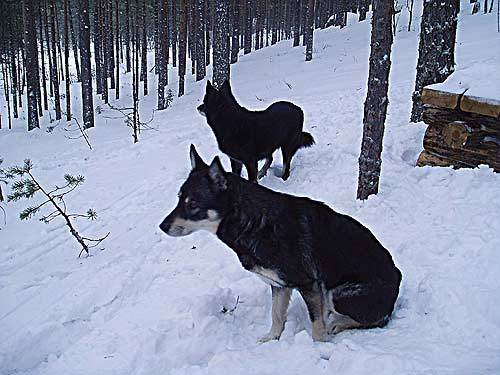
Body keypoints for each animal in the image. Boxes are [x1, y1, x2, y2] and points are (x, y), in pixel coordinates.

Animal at [160, 146, 402, 344]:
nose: (162, 226)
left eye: (193, 204)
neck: (254, 223)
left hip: (339, 294)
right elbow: (276, 315)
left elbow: (316, 326)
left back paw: (337, 323)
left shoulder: (308, 284)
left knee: (375, 320)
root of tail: (397, 279)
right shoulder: (280, 285)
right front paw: (272, 338)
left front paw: (321, 347)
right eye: (179, 198)